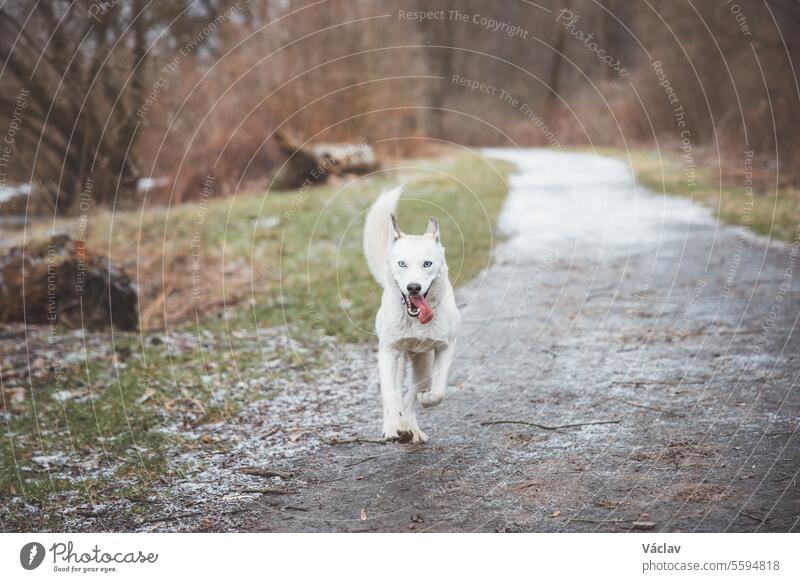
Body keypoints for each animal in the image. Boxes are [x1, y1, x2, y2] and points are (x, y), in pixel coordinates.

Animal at [360, 185, 456, 444]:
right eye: (402, 264)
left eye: (427, 264)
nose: (413, 287)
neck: (415, 321)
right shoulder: (388, 352)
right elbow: (390, 394)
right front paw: (394, 425)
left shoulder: (444, 348)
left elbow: (437, 392)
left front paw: (426, 399)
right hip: (400, 359)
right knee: (394, 394)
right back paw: (395, 426)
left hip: (422, 363)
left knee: (412, 395)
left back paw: (412, 428)